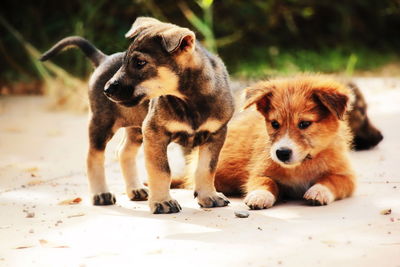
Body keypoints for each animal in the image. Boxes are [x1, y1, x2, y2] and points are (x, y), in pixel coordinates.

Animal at [40, 17, 234, 214]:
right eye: (125, 61)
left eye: (140, 63)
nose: (107, 90)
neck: (191, 101)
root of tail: (103, 59)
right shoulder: (155, 134)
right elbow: (161, 171)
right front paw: (163, 202)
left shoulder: (216, 134)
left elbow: (206, 168)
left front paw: (209, 196)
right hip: (101, 123)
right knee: (93, 157)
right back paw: (101, 194)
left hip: (136, 129)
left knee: (124, 152)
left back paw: (135, 189)